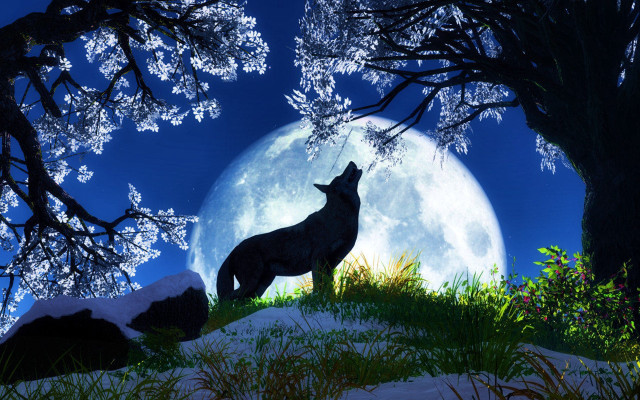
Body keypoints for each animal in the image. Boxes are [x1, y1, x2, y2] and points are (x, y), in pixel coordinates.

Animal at [216, 161, 362, 301]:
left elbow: (329, 287)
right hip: (252, 282)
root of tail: (234, 249)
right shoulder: (317, 260)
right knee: (227, 299)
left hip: (261, 285)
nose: (351, 161)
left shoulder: (330, 265)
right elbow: (318, 287)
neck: (341, 215)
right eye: (338, 177)